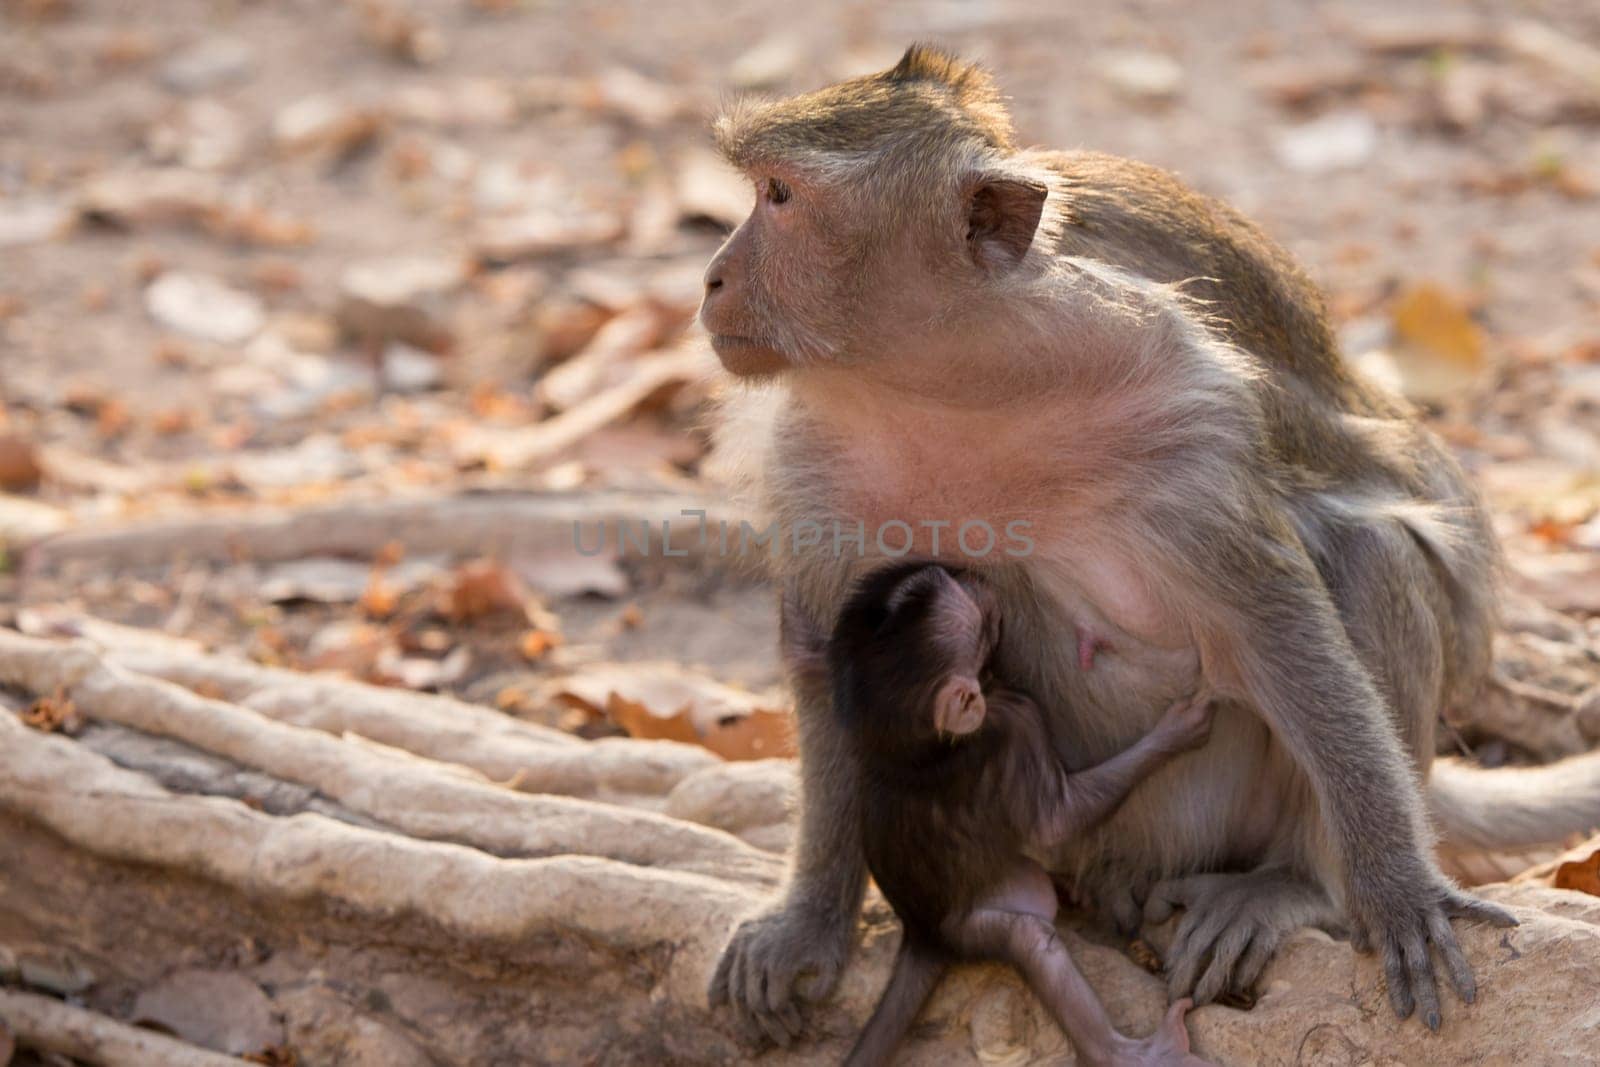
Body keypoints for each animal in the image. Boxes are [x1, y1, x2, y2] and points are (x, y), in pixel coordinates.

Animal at [787, 563, 1209, 1062]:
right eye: (982, 619)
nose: (972, 576)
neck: (913, 744)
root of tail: (921, 932)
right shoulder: (1016, 718)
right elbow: (1054, 822)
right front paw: (1174, 733)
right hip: (972, 925)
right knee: (1030, 940)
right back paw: (1130, 1052)